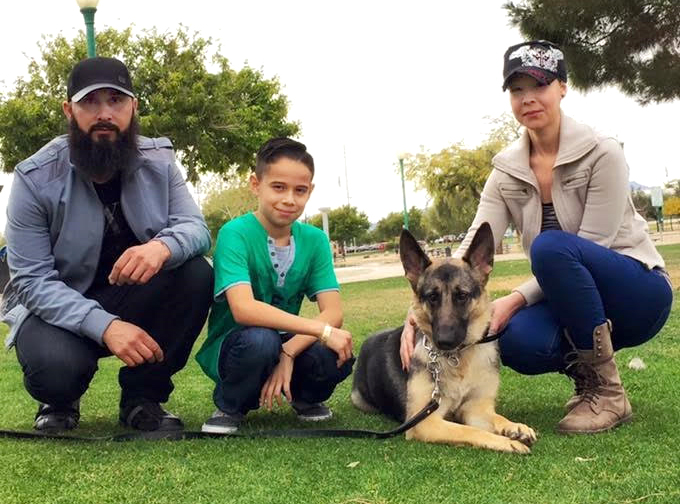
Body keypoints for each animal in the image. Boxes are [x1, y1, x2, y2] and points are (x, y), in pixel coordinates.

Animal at [350, 223, 536, 452]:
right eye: (432, 297)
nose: (444, 341)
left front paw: (514, 427)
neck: (458, 362)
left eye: (462, 296)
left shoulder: (476, 409)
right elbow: (469, 431)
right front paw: (506, 442)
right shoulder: (425, 421)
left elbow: (496, 418)